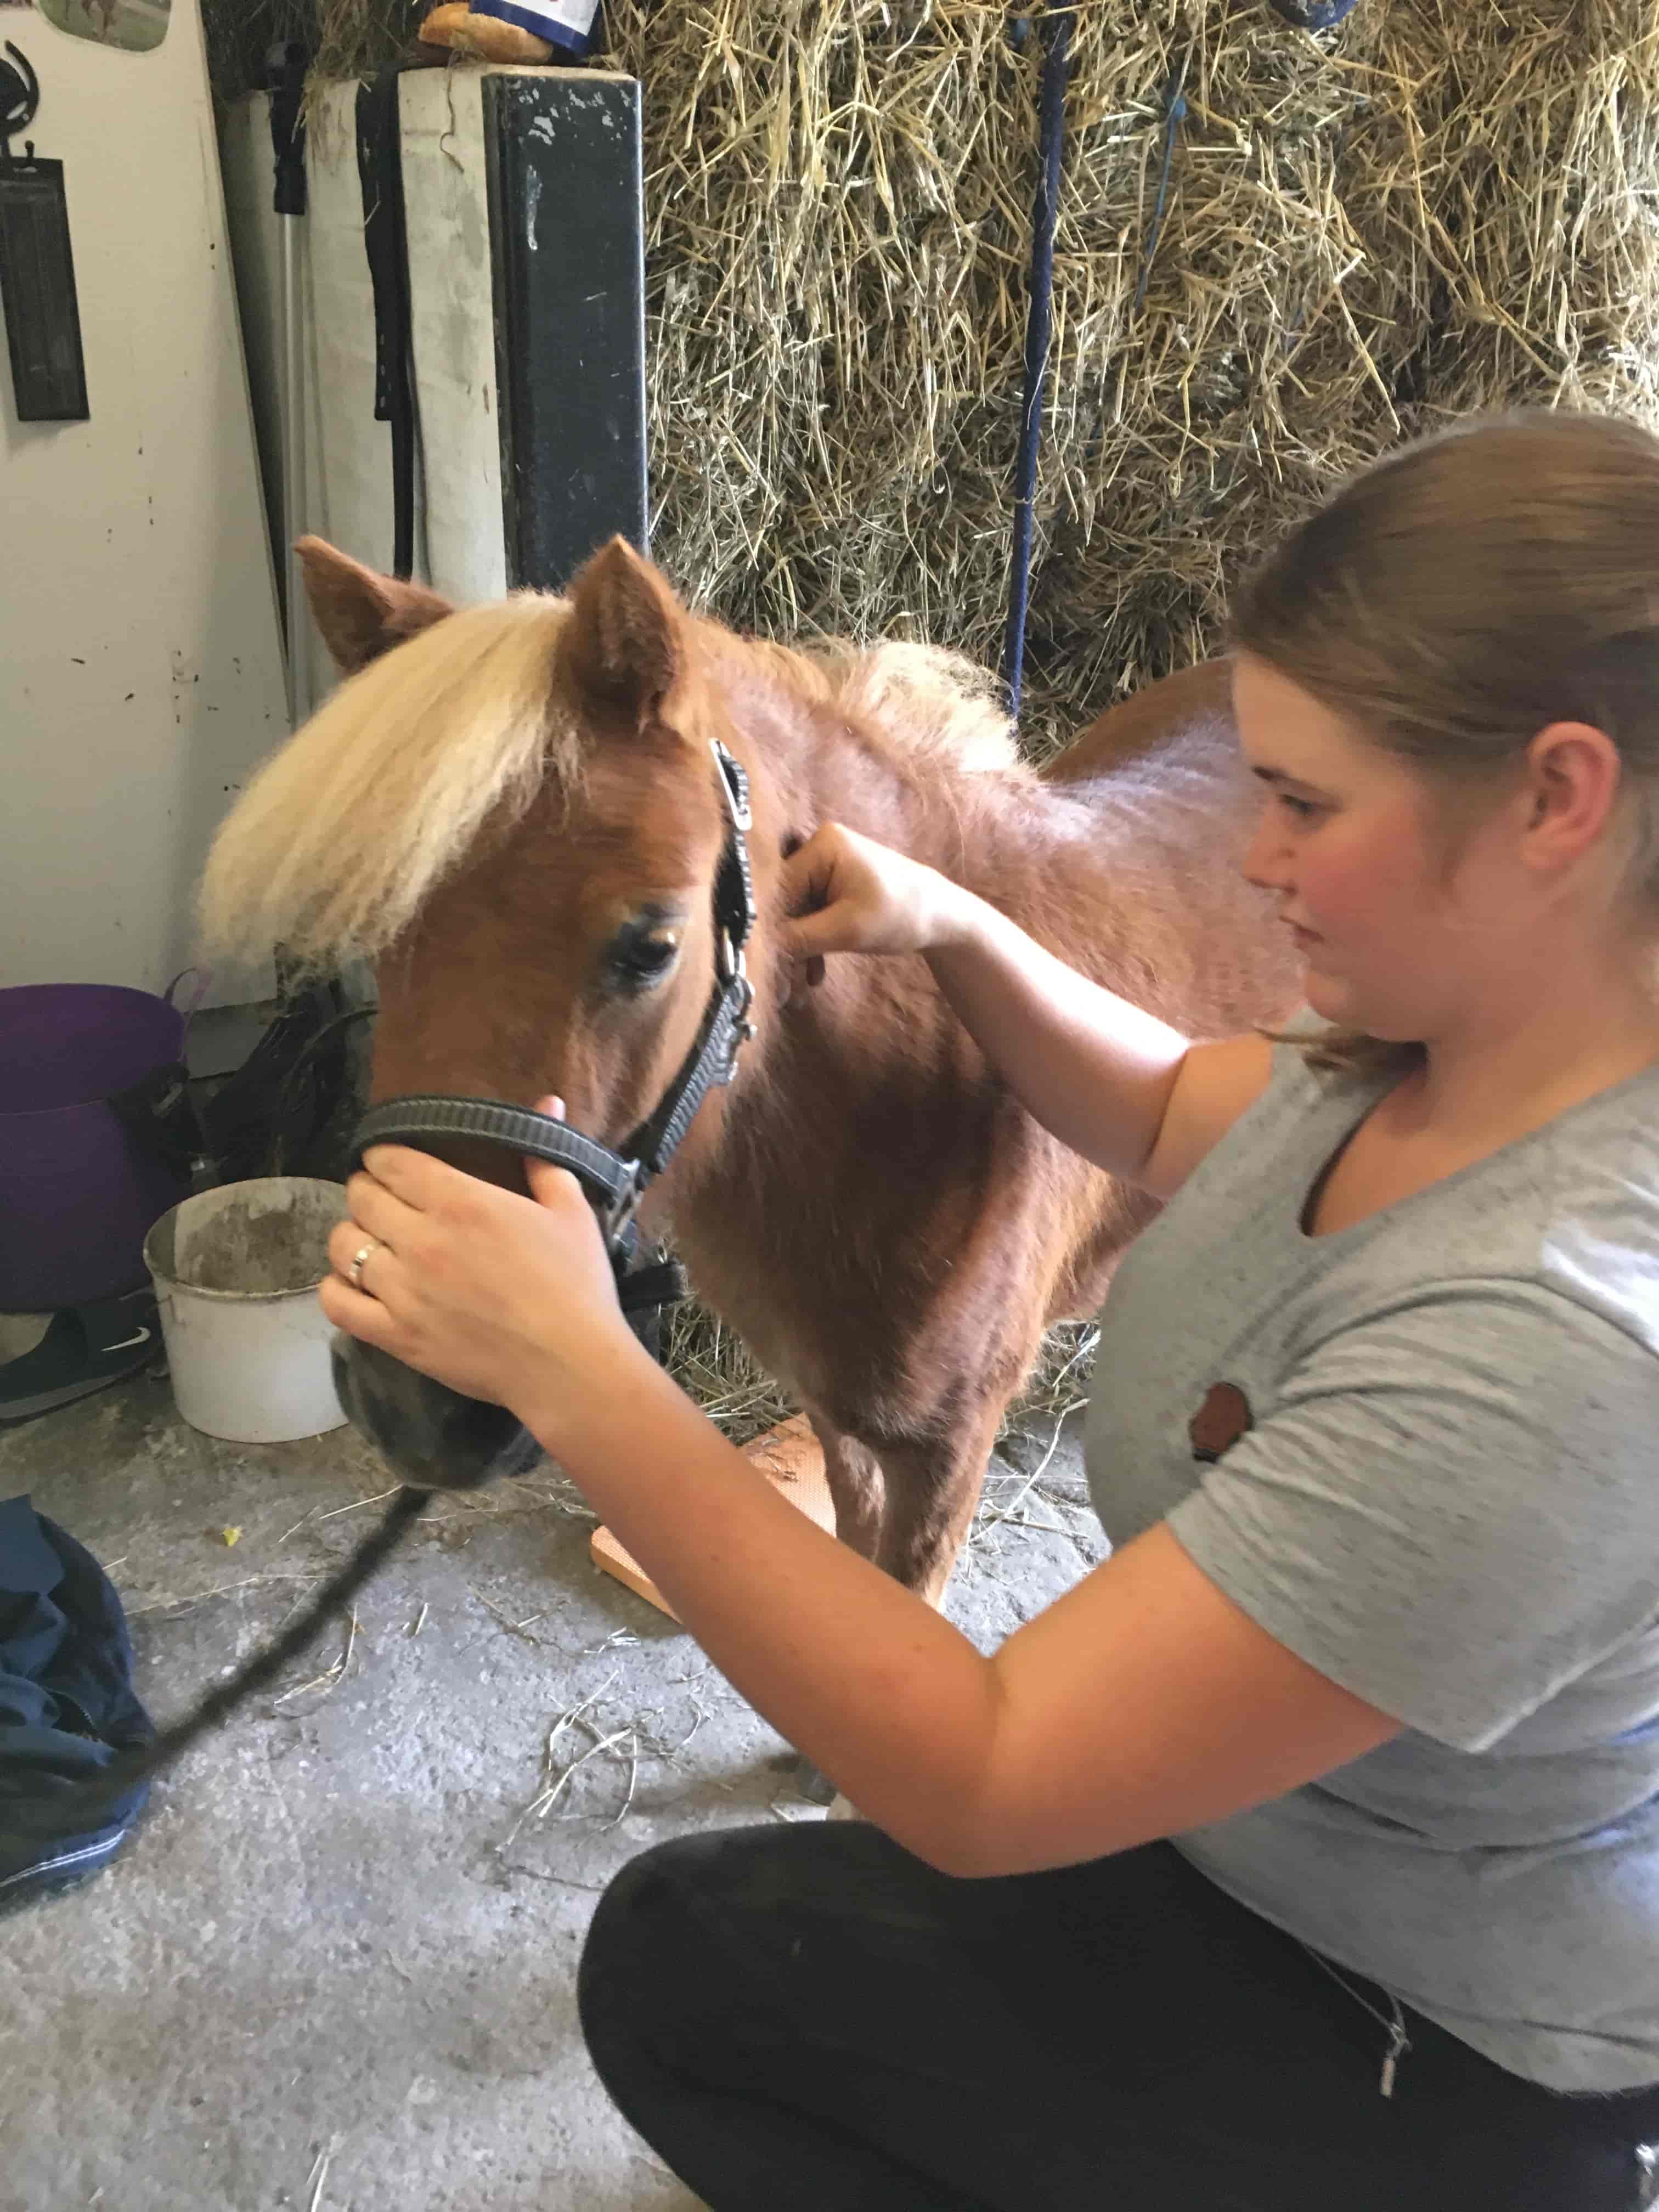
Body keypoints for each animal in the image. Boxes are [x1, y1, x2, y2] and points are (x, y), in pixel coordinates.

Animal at [201, 537, 1301, 1605]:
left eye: (652, 943)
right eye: (382, 934)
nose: (413, 1407)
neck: (918, 1083)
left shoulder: (946, 1455)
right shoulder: (832, 1408)